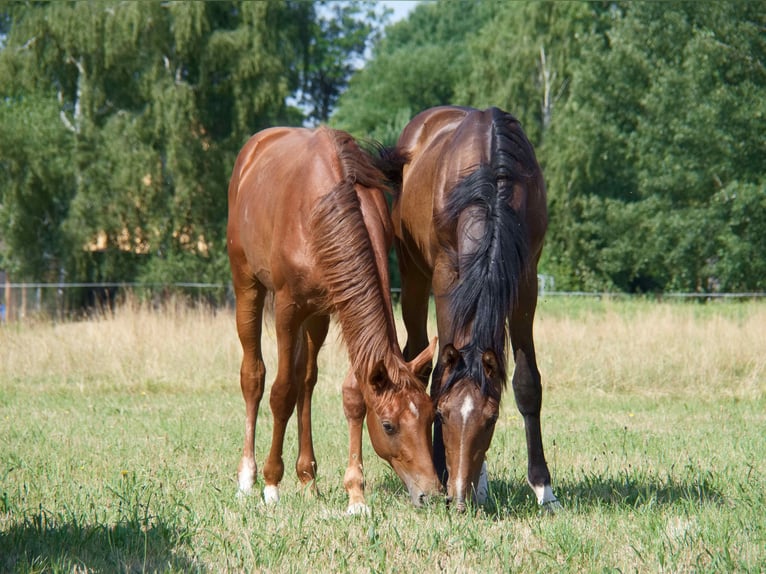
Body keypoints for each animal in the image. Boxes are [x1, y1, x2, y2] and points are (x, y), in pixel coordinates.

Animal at [228, 127, 440, 516]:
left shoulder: (337, 307)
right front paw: (271, 483)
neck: (323, 206)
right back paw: (248, 477)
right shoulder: (288, 309)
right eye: (388, 426)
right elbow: (281, 392)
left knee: (306, 381)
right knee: (255, 376)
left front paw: (355, 494)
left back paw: (308, 480)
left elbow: (353, 394)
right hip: (247, 285)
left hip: (318, 316)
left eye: (432, 416)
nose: (430, 494)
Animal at [392, 107, 560, 512]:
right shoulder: (445, 275)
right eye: (441, 414)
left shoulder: (526, 281)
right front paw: (440, 471)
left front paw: (543, 489)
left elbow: (527, 382)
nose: (458, 498)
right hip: (412, 274)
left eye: (491, 419)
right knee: (416, 355)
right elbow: (439, 375)